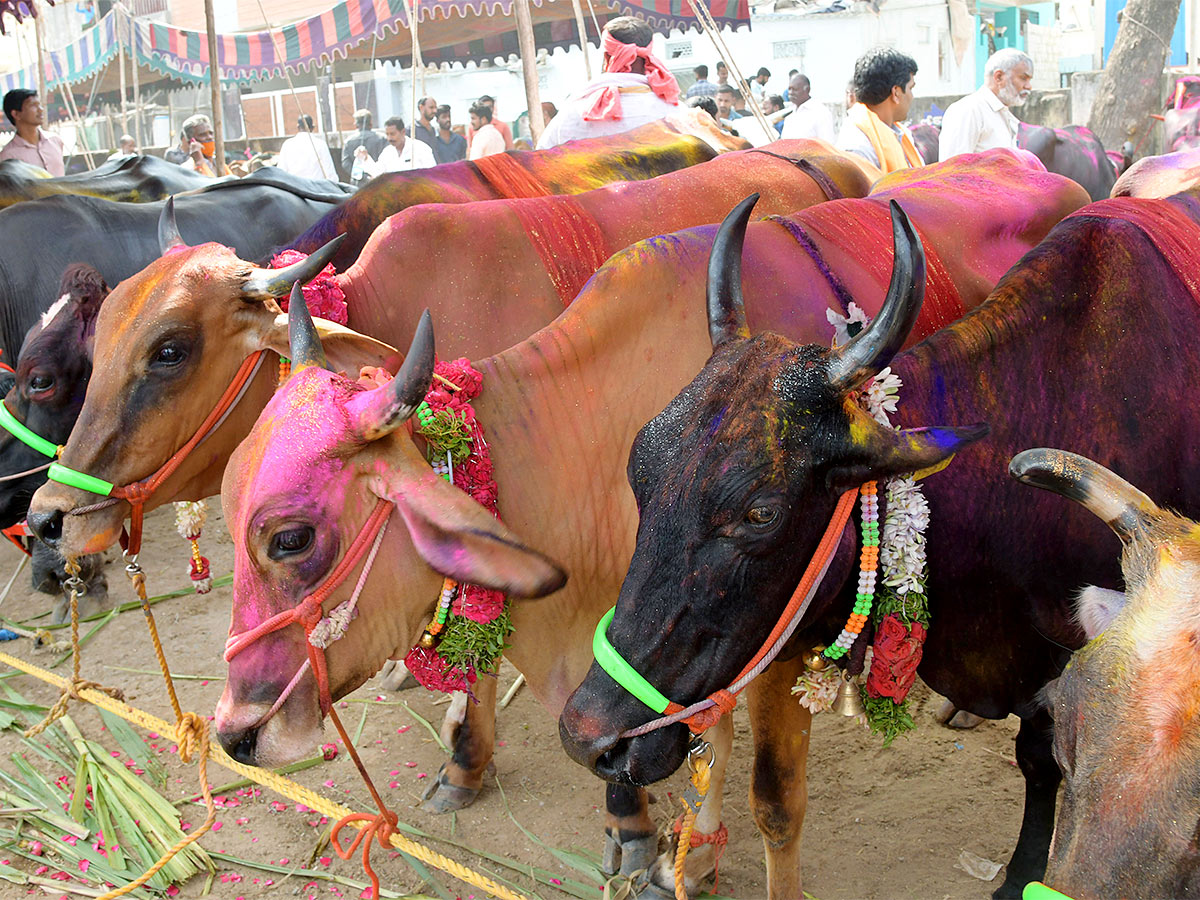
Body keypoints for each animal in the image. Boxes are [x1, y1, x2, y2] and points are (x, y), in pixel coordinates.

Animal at [204, 153, 1089, 897]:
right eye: (229, 503)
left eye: (291, 538)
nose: (236, 732)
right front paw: (682, 856)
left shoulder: (772, 649)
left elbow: (772, 799)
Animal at [554, 184, 1200, 900]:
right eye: (639, 469)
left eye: (760, 512)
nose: (588, 736)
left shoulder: (1063, 660)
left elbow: (1040, 760)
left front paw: (1018, 874)